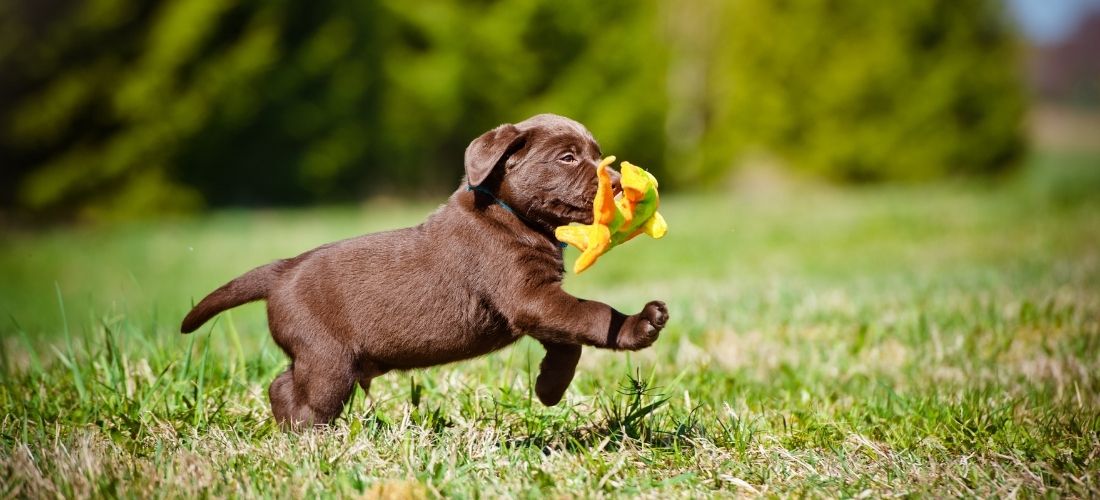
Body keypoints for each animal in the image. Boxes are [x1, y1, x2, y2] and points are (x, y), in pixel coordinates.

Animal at [180, 114, 668, 430]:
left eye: (599, 157)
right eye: (567, 158)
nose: (619, 186)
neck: (508, 213)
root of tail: (282, 270)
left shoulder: (541, 302)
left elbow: (569, 341)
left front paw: (549, 388)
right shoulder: (528, 297)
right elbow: (591, 315)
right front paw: (640, 325)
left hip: (319, 356)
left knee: (282, 384)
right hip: (328, 360)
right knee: (309, 403)